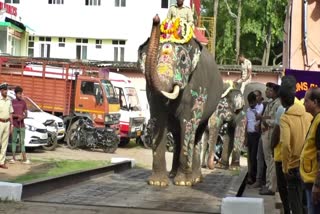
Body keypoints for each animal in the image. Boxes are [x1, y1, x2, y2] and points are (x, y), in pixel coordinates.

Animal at [138, 15, 222, 186]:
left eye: (183, 58)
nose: (156, 18)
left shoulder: (196, 88)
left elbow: (188, 123)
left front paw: (183, 183)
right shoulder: (151, 91)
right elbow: (158, 120)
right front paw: (157, 183)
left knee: (196, 133)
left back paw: (194, 179)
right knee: (177, 134)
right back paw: (173, 175)